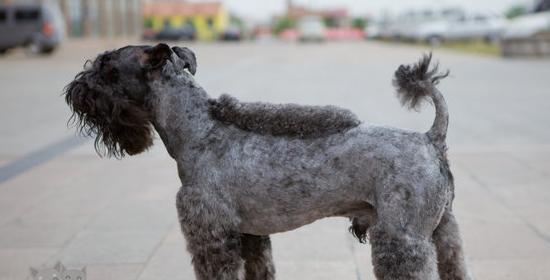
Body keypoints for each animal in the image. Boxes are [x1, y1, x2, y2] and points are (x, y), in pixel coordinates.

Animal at [63, 42, 470, 278]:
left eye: (107, 67)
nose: (74, 90)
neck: (197, 130)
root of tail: (430, 138)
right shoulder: (249, 234)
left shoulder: (211, 233)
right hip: (443, 231)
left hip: (403, 239)